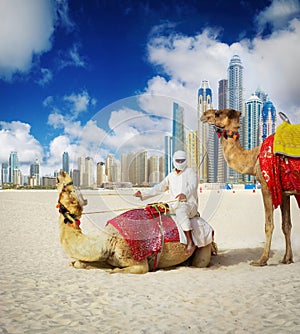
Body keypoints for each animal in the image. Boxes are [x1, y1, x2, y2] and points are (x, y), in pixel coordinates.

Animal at [54, 171, 213, 272]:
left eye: (69, 190)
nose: (61, 173)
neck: (108, 241)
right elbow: (78, 263)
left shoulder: (139, 264)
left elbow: (115, 270)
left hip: (204, 244)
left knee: (200, 262)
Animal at [200, 109, 298, 266]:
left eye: (218, 113)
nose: (204, 114)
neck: (254, 158)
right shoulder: (284, 192)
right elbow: (286, 225)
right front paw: (287, 259)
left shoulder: (267, 186)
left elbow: (269, 224)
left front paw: (261, 260)